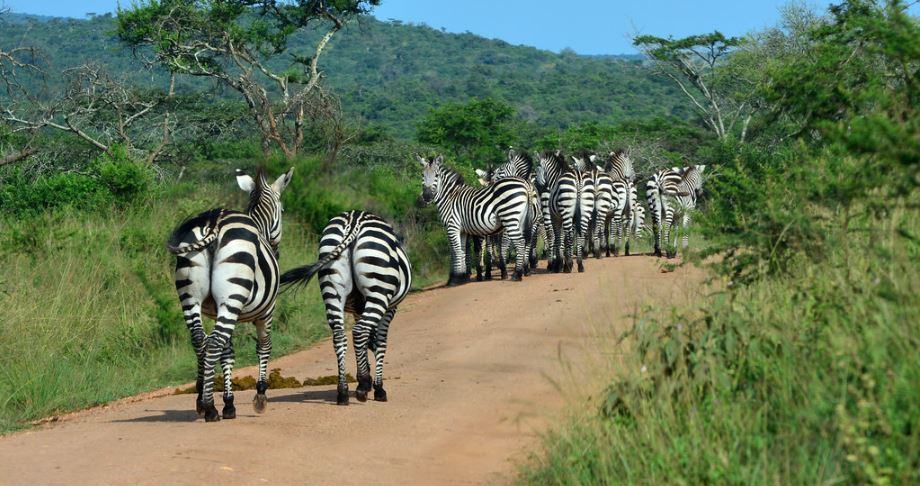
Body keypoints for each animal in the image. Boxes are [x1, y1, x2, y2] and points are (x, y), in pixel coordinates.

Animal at [166, 166, 292, 422]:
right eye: (282, 210)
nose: (277, 250)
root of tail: (213, 222)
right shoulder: (268, 310)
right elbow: (264, 346)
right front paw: (259, 396)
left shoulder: (216, 311)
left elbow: (228, 353)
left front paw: (229, 402)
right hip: (232, 297)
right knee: (213, 343)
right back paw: (210, 408)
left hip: (191, 296)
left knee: (200, 340)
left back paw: (202, 400)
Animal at [278, 211, 412, 404]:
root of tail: (354, 220)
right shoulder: (390, 309)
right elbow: (380, 343)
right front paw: (377, 387)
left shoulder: (357, 309)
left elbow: (368, 342)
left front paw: (366, 377)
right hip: (378, 290)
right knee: (360, 331)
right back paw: (362, 388)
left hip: (332, 286)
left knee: (340, 336)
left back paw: (343, 391)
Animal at [416, 155, 532, 284]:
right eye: (422, 175)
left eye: (436, 175)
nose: (426, 196)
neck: (450, 197)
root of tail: (524, 184)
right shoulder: (462, 230)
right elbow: (462, 251)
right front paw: (462, 276)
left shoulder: (452, 227)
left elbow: (456, 251)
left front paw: (455, 279)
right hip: (520, 220)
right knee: (523, 241)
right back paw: (519, 271)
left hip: (510, 218)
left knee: (519, 242)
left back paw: (517, 274)